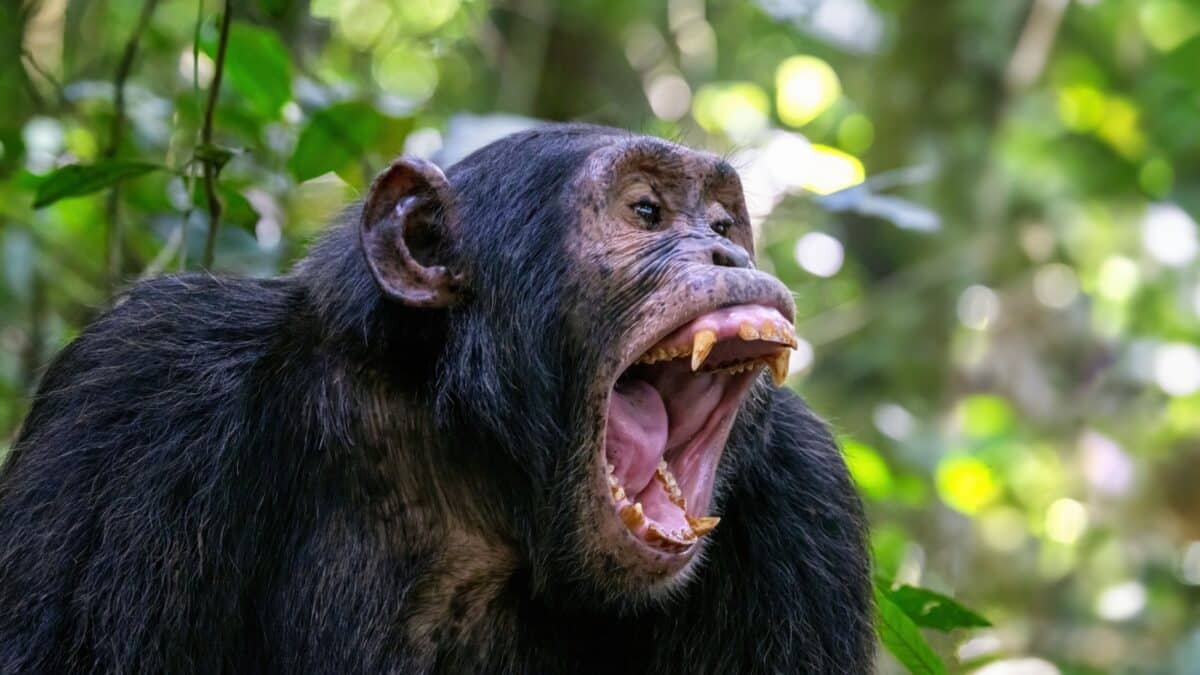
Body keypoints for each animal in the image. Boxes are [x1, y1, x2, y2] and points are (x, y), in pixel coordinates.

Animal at [0, 123, 868, 667]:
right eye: (647, 211)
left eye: (722, 222)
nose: (727, 253)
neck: (471, 462)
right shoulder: (142, 387)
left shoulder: (802, 497)